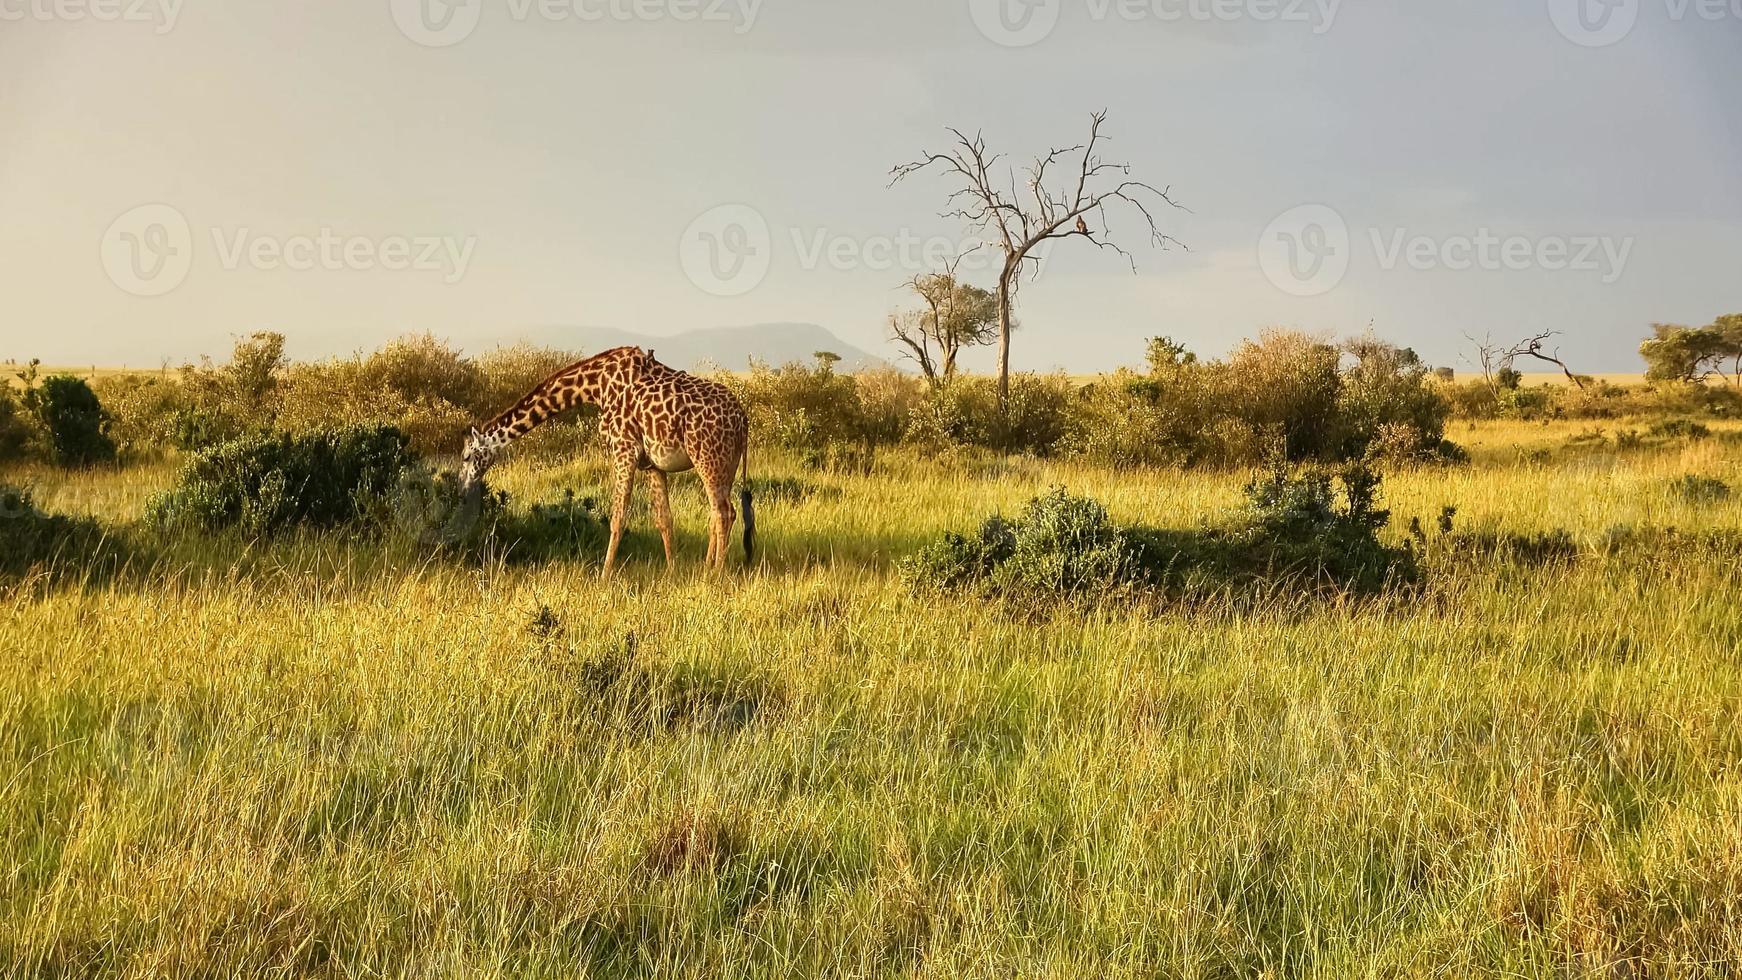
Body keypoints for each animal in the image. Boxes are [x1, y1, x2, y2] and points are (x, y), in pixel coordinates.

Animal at [463, 346, 756, 574]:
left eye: (466, 456)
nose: (462, 488)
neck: (595, 385)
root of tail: (742, 418)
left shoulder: (624, 449)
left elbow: (617, 517)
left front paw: (604, 576)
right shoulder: (651, 463)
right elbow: (664, 519)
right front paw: (672, 572)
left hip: (708, 457)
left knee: (724, 513)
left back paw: (715, 575)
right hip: (725, 464)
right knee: (716, 512)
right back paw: (707, 567)